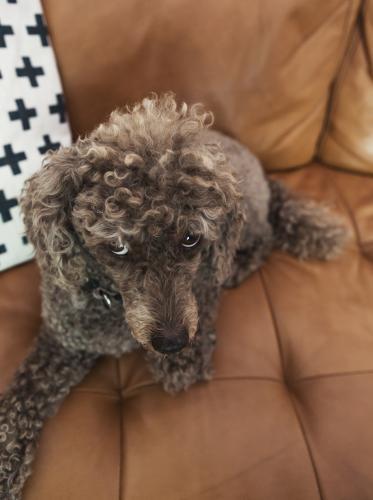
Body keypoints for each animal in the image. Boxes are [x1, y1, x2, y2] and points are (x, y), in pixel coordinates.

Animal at [0, 93, 346, 496]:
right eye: (117, 246)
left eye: (191, 238)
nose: (172, 343)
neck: (113, 301)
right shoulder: (63, 340)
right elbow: (24, 392)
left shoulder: (203, 283)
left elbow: (202, 306)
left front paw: (182, 362)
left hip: (246, 223)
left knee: (264, 239)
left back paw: (240, 267)